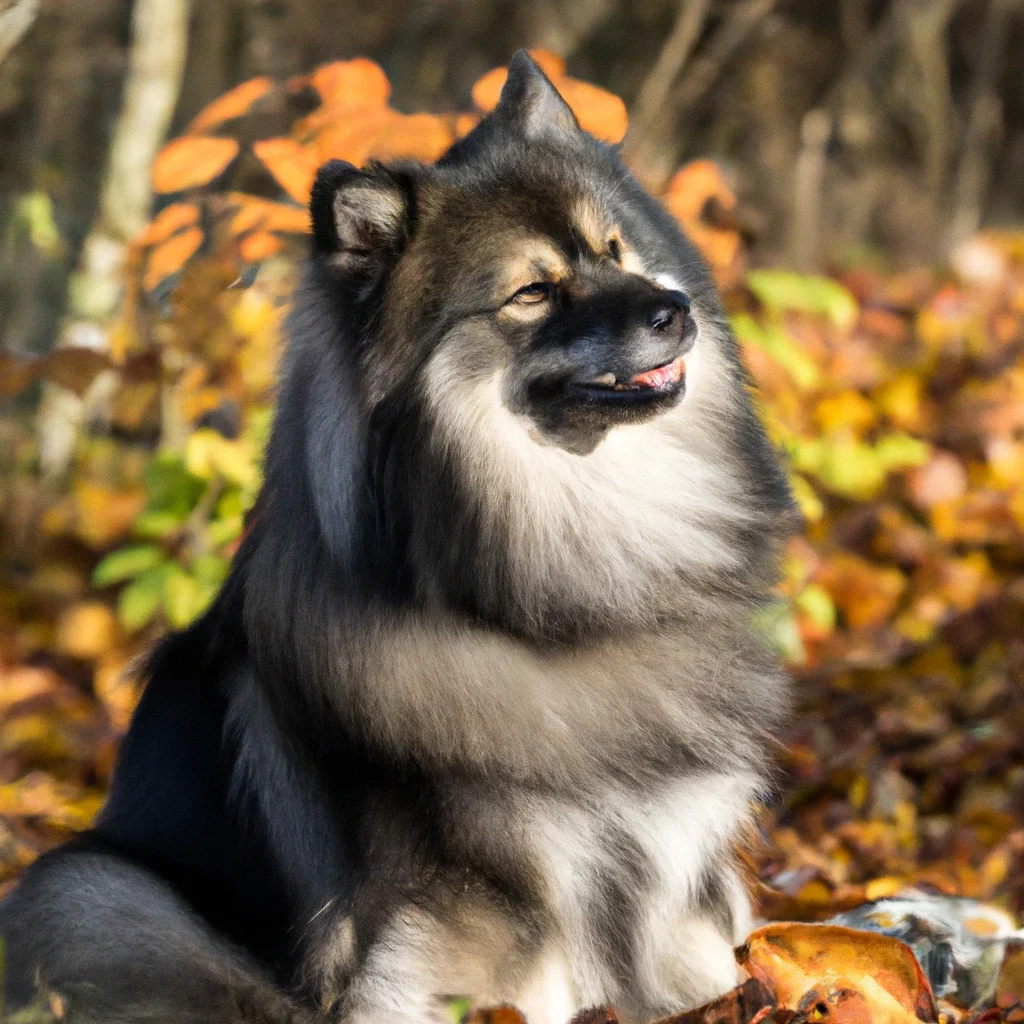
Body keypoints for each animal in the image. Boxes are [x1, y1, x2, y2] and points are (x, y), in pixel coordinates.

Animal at [0, 49, 794, 1024]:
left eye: (613, 250)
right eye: (532, 292)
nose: (673, 308)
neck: (571, 597)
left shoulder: (674, 873)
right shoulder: (478, 905)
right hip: (88, 890)